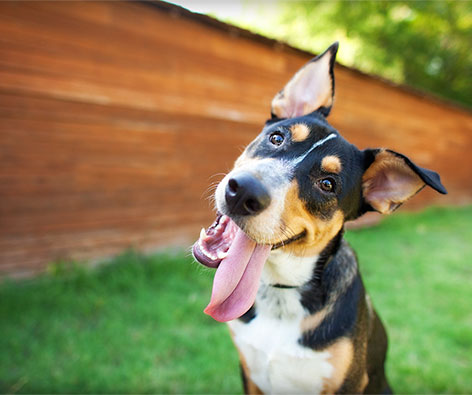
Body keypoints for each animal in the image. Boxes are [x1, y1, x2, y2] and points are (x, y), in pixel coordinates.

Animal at [192, 41, 446, 394]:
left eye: (327, 184)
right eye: (277, 137)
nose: (242, 192)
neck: (282, 294)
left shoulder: (347, 383)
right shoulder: (249, 372)